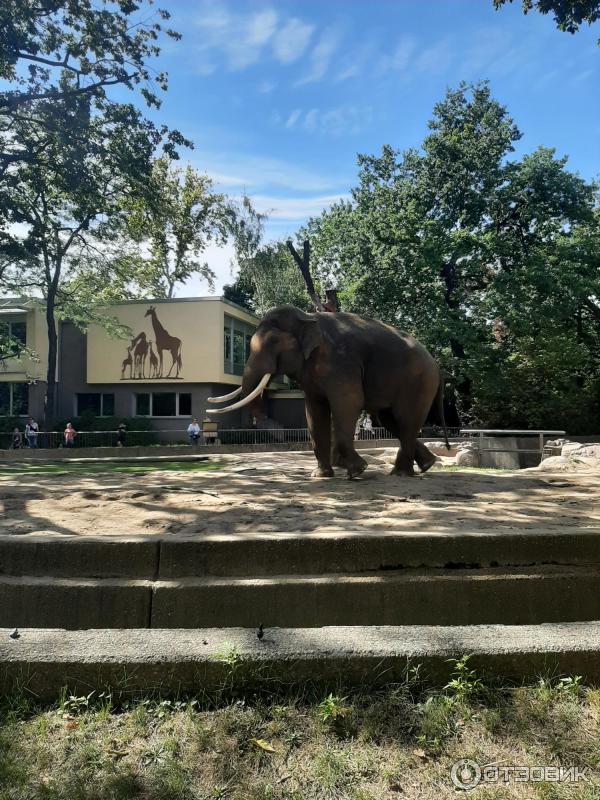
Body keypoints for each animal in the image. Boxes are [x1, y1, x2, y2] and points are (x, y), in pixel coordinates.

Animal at [209, 306, 448, 478]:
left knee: (404, 419)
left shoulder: (341, 362)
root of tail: (436, 364)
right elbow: (314, 412)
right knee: (390, 420)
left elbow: (348, 402)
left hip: (419, 381)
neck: (307, 317)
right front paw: (321, 475)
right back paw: (427, 465)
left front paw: (358, 471)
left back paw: (401, 474)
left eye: (274, 342)